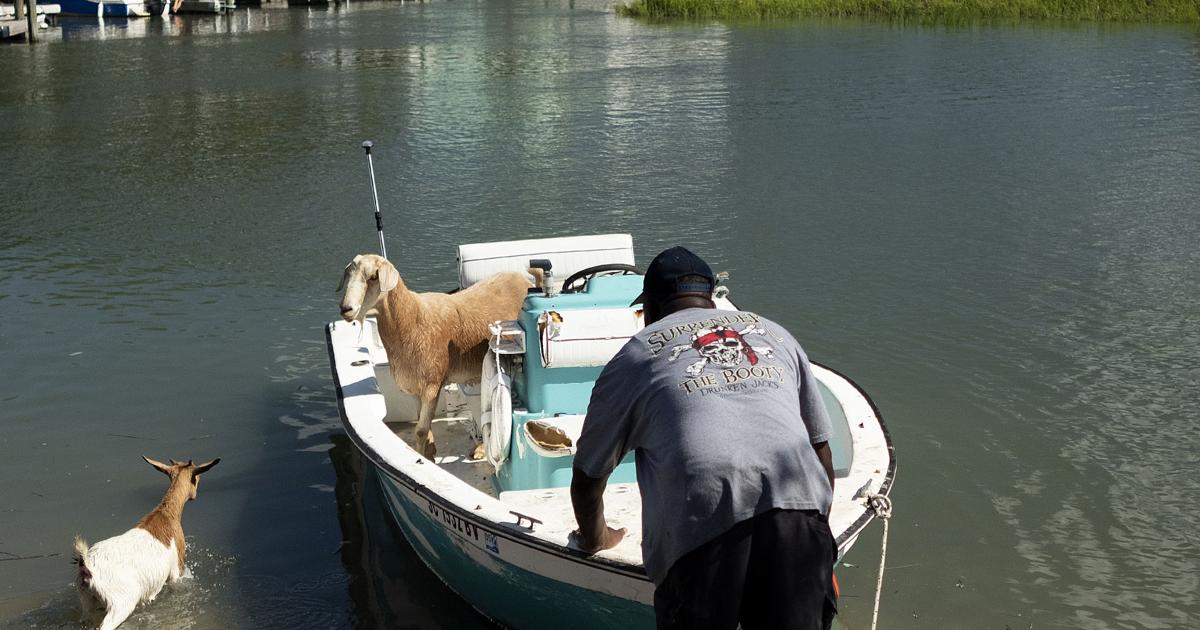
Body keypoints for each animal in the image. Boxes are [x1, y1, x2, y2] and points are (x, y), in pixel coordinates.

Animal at [73, 456, 220, 630]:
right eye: (197, 479)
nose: (194, 495)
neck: (166, 514)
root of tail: (87, 565)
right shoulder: (176, 571)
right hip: (120, 604)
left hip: (87, 603)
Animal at [337, 253, 531, 459]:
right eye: (349, 274)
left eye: (374, 276)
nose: (346, 309)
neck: (410, 321)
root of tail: (523, 279)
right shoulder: (416, 388)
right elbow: (423, 426)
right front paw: (429, 453)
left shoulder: (432, 385)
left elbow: (420, 430)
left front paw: (422, 458)